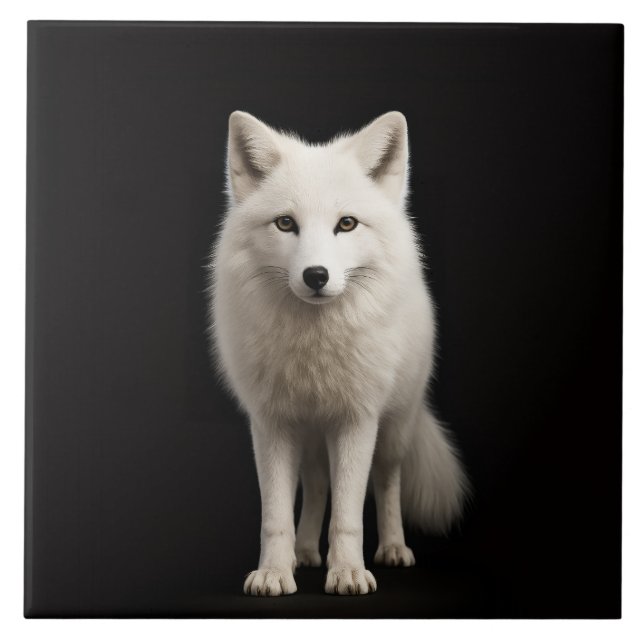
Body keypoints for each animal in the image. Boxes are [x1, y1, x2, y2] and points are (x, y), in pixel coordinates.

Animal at [208, 110, 468, 596]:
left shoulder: (356, 420)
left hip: (394, 429)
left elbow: (348, 515)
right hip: (310, 438)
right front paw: (275, 572)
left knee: (386, 483)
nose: (316, 276)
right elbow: (276, 515)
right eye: (285, 224)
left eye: (346, 224)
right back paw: (305, 552)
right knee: (315, 488)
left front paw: (347, 572)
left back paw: (393, 548)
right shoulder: (271, 423)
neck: (314, 351)